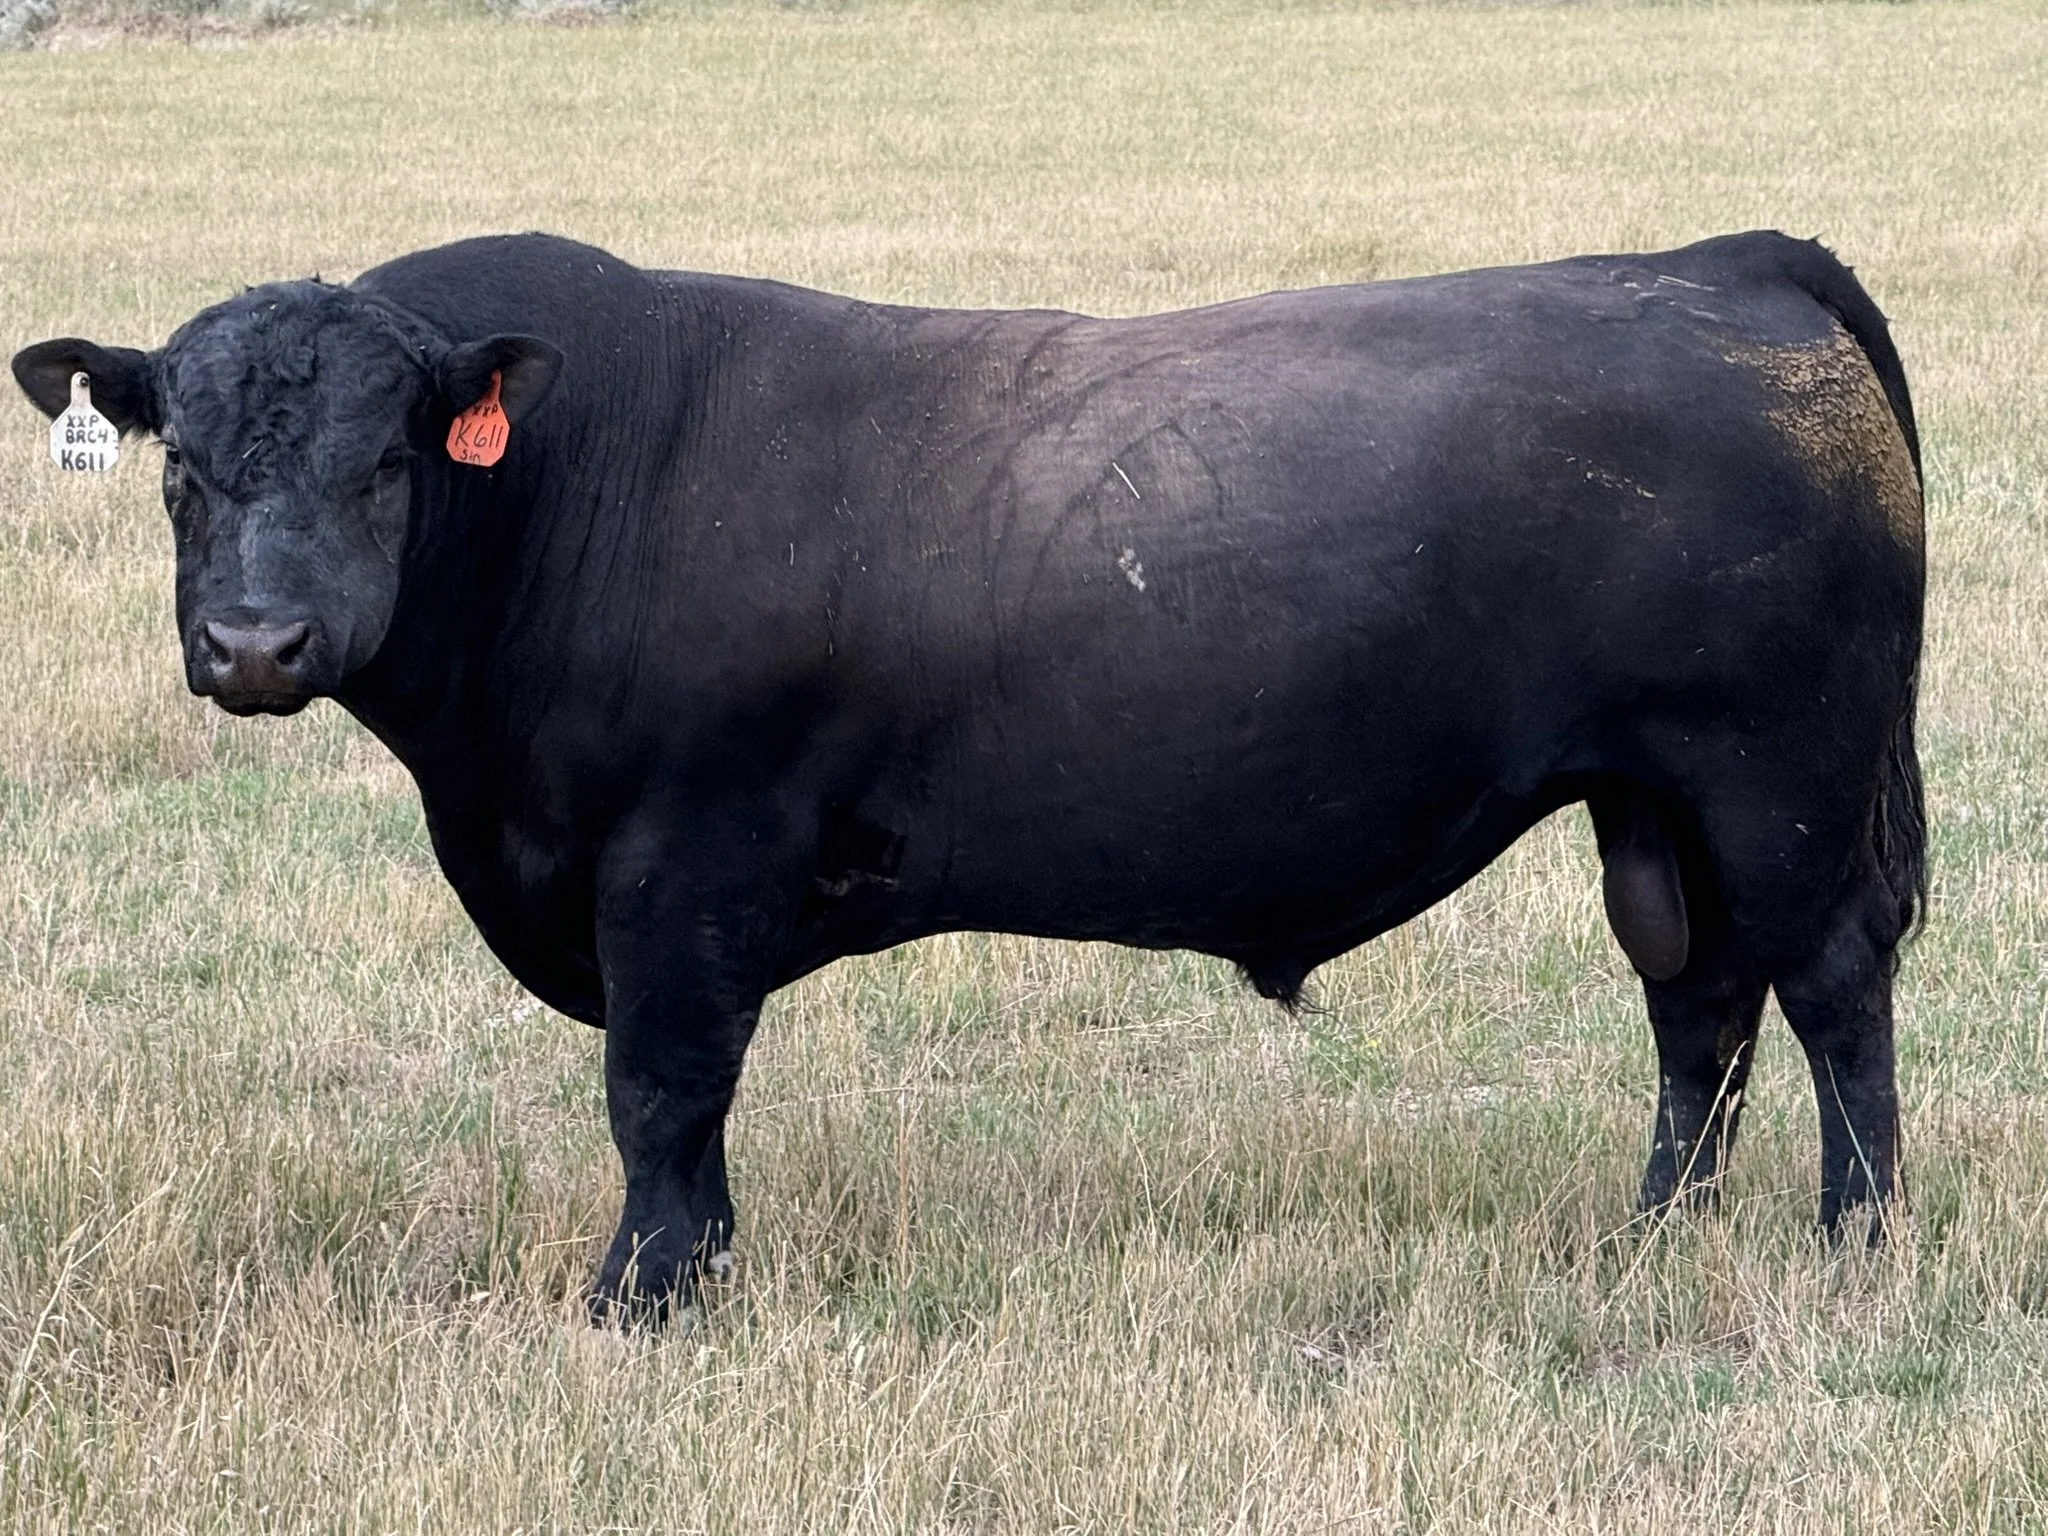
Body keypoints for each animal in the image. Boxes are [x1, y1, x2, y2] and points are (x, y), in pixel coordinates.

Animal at [13, 230, 1925, 1318]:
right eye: (179, 464)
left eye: (389, 463)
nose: (257, 644)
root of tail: (1731, 260)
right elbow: (691, 1109)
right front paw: (698, 1269)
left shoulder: (684, 857)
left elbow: (659, 1086)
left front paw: (638, 1299)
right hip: (1654, 800)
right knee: (1697, 1007)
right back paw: (1656, 1235)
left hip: (1779, 782)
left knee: (1829, 990)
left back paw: (1855, 1244)